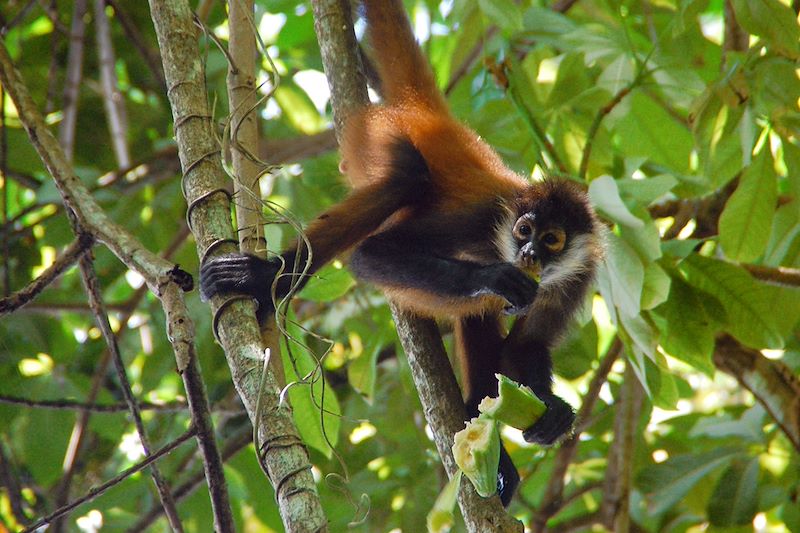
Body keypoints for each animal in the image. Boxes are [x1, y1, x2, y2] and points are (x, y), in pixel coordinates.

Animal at [200, 0, 600, 504]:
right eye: (525, 229)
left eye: (551, 240)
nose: (527, 252)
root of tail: (428, 115)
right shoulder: (483, 219)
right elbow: (372, 254)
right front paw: (493, 278)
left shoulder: (580, 273)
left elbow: (525, 347)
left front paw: (551, 413)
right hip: (378, 136)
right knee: (407, 176)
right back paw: (263, 279)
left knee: (476, 314)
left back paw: (480, 425)